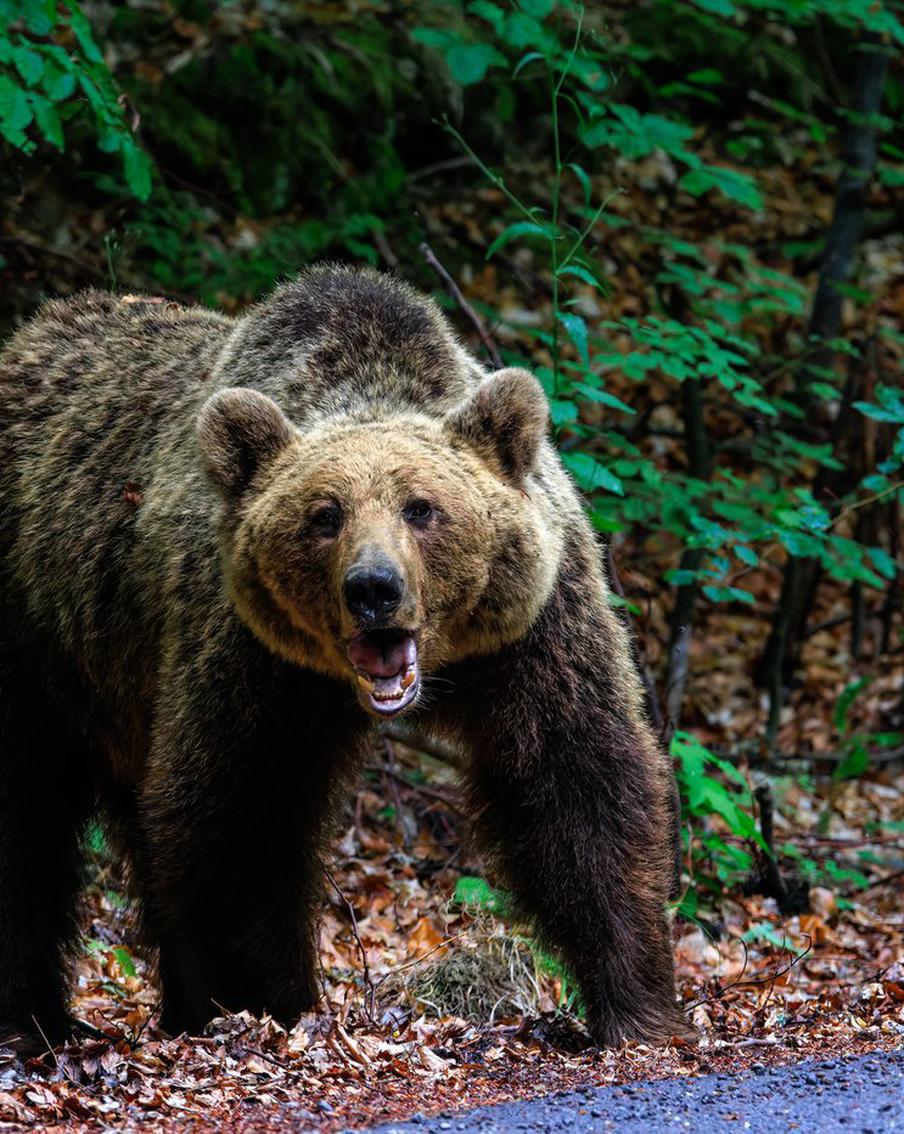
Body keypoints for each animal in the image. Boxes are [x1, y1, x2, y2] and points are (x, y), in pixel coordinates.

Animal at [0, 265, 690, 1053]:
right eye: (324, 515)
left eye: (421, 508)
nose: (373, 589)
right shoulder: (250, 655)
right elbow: (240, 813)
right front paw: (267, 1002)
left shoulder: (532, 630)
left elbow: (579, 780)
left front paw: (635, 1006)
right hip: (37, 638)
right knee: (26, 820)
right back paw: (35, 1020)